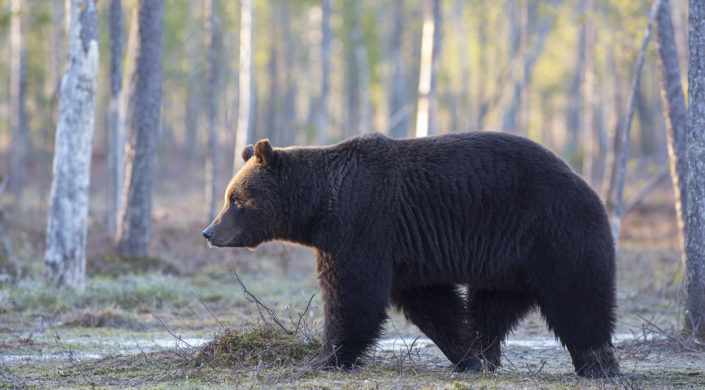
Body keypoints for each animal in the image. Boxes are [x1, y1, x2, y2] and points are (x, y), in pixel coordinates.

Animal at [202, 132, 616, 378]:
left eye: (234, 199)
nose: (209, 232)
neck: (318, 207)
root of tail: (586, 184)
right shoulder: (405, 252)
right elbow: (432, 304)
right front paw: (465, 355)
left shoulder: (361, 224)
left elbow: (352, 295)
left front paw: (325, 358)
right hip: (509, 261)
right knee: (492, 306)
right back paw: (487, 354)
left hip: (553, 232)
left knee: (578, 299)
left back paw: (598, 364)